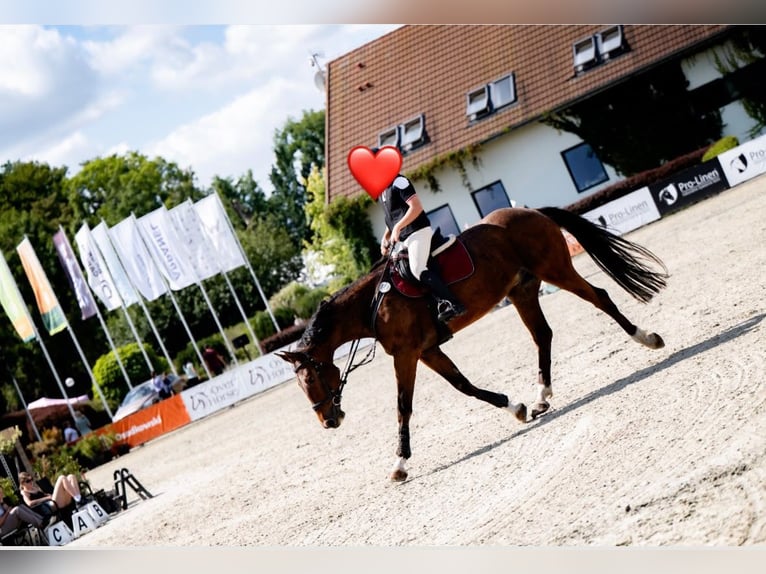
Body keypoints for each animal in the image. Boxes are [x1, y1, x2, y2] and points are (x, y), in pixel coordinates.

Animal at [277, 206, 668, 481]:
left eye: (310, 379)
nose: (328, 421)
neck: (373, 303)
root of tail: (532, 212)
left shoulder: (406, 354)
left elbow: (403, 407)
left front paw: (399, 465)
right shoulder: (428, 350)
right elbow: (464, 386)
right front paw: (515, 407)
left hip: (556, 269)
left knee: (600, 298)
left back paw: (647, 338)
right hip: (523, 290)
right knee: (543, 334)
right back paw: (541, 398)